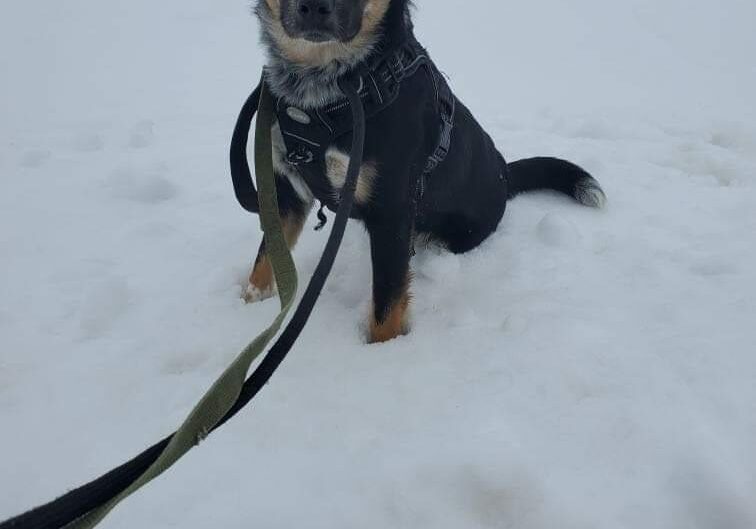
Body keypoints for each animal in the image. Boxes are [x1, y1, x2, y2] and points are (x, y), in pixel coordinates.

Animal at [245, 0, 604, 344]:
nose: (314, 7)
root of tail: (505, 172)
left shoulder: (391, 212)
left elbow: (387, 304)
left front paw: (383, 352)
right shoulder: (283, 192)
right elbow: (266, 257)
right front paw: (249, 306)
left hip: (453, 233)